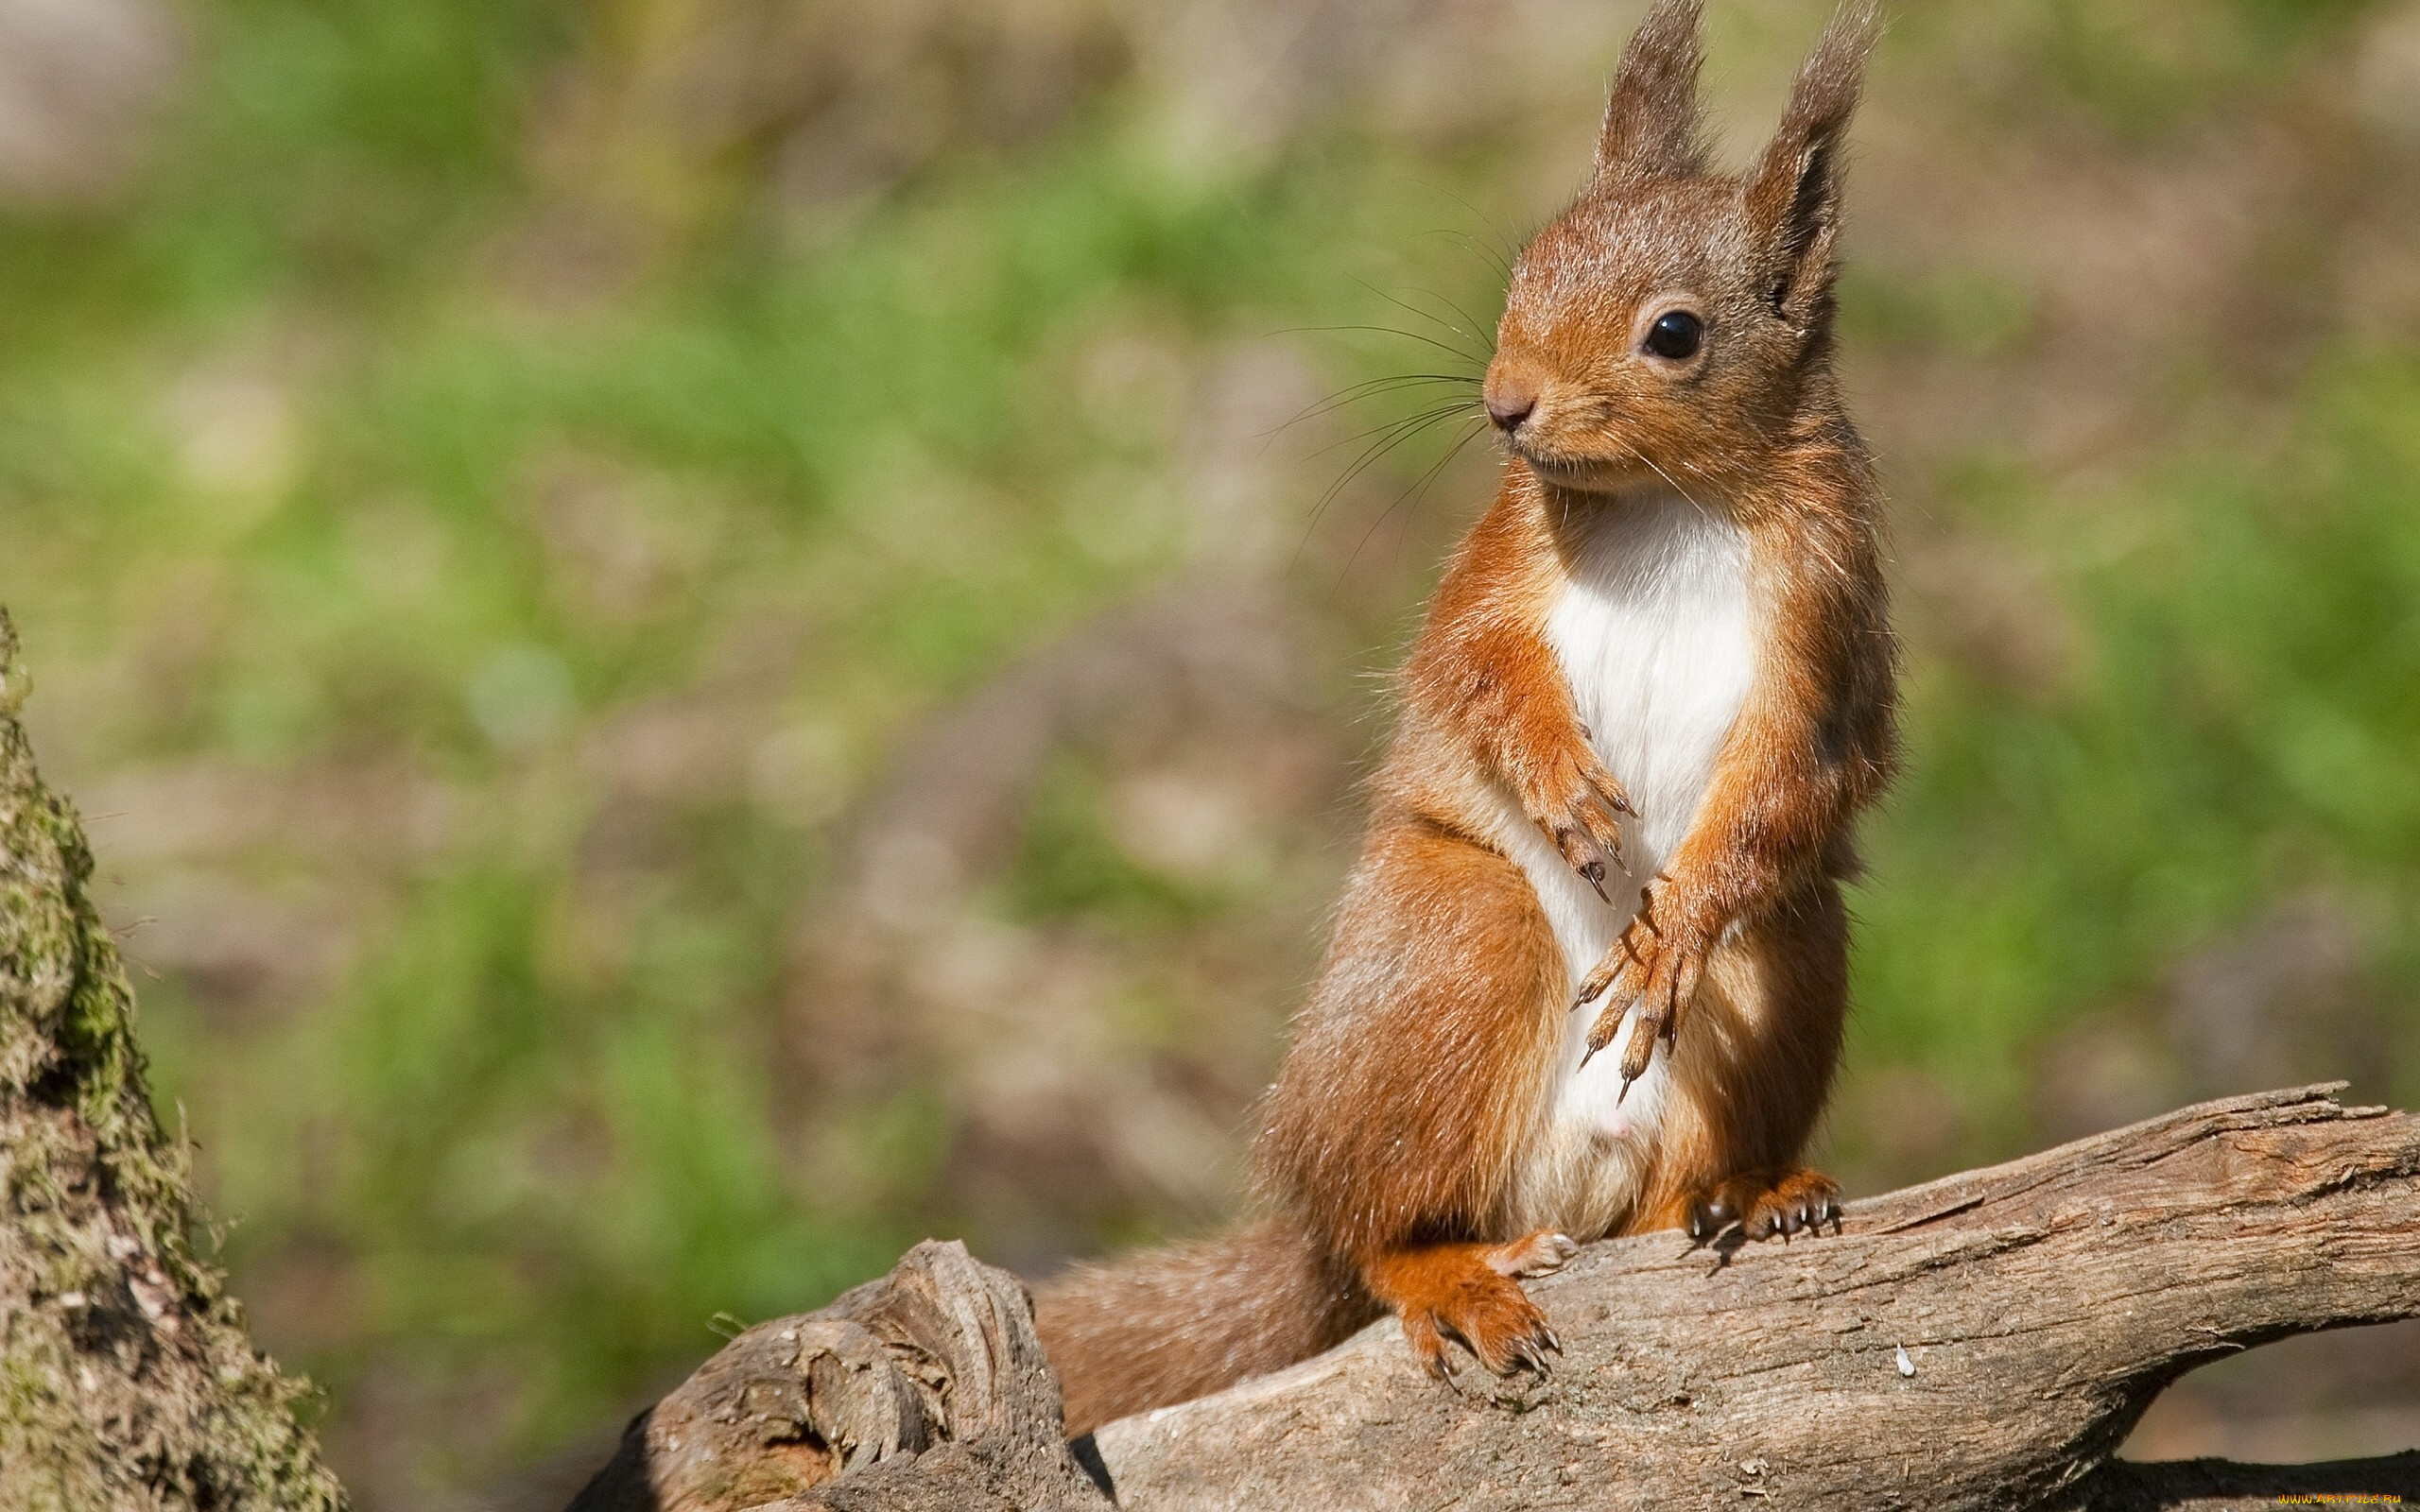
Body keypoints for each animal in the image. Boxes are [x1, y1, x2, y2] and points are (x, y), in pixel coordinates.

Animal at [1030, 0, 1897, 1432]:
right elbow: (1476, 671)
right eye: (1525, 266)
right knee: (1378, 1236)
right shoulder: (1496, 565)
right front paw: (1563, 785)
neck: (1673, 501)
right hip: (1458, 943)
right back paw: (1447, 1271)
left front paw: (1672, 935)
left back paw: (1747, 1189)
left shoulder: (1825, 627)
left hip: (1788, 960)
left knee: (1677, 1159)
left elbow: (1804, 773)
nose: (1505, 402)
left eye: (1675, 333)